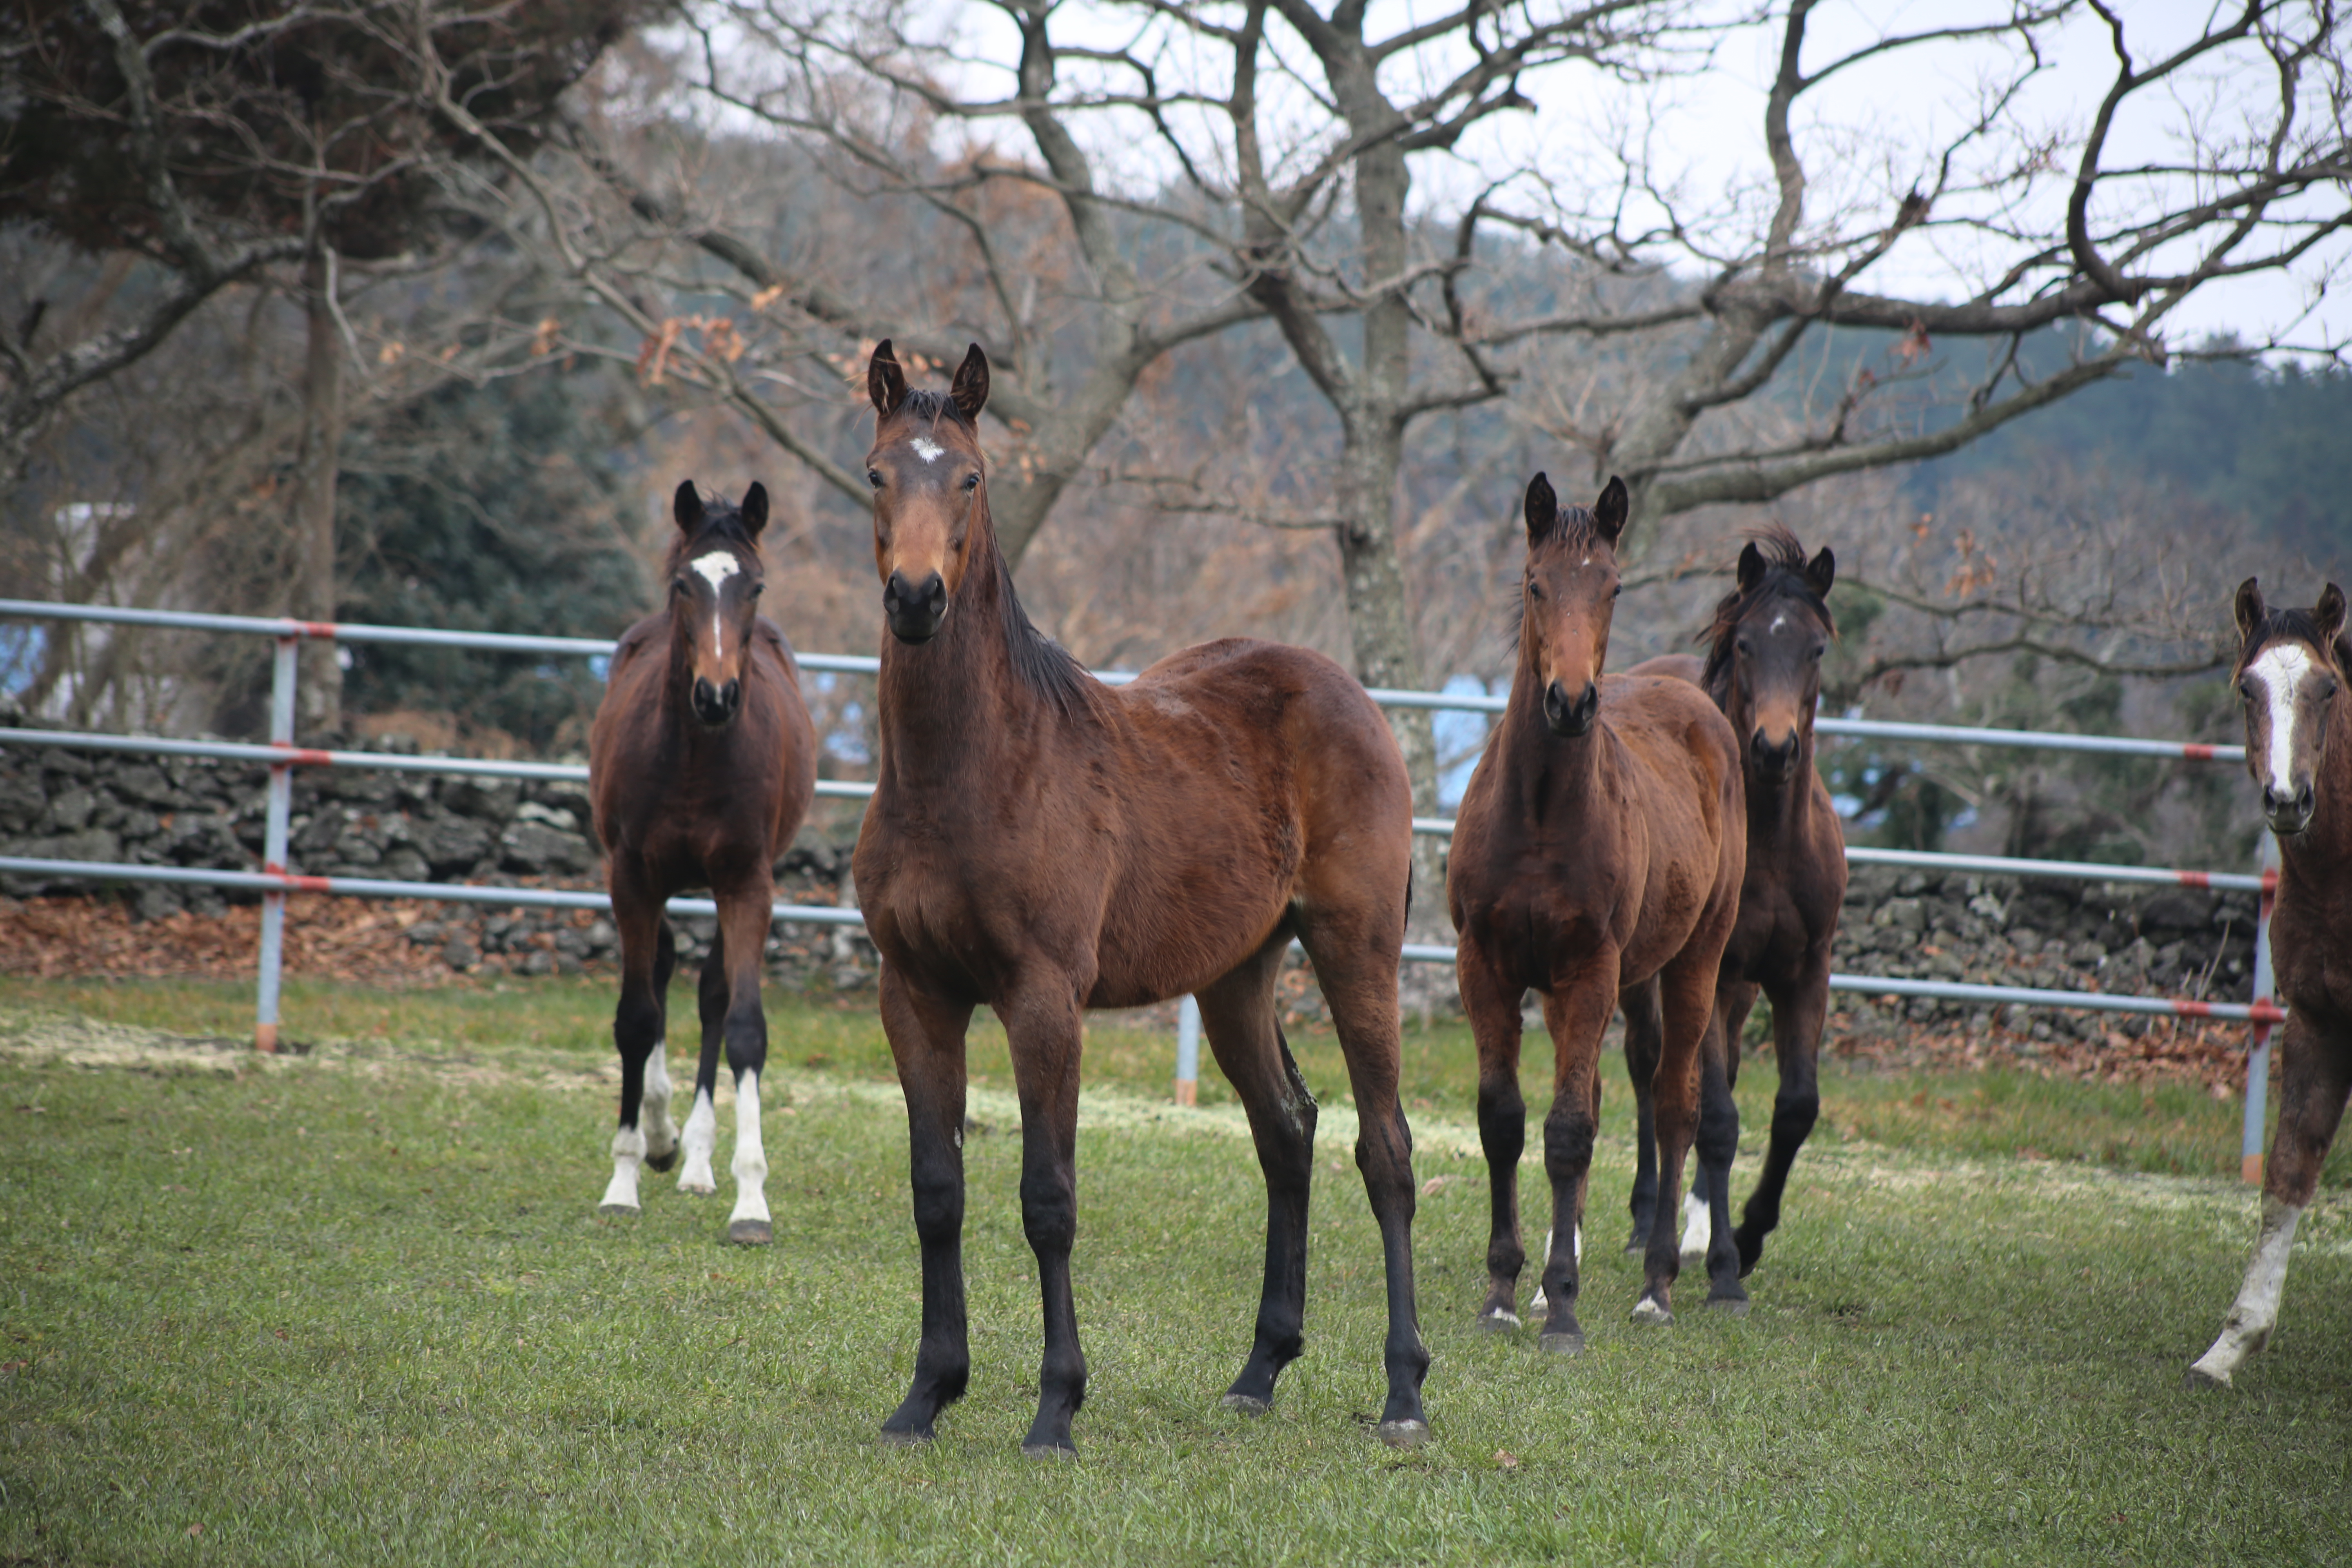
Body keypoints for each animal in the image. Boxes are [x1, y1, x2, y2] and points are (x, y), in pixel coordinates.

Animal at [592, 484, 823, 1241]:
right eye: (682, 585)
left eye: (754, 586)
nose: (716, 697)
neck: (694, 755)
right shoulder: (632, 879)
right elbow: (636, 1018)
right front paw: (624, 1178)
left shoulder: (748, 884)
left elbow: (744, 1024)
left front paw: (751, 1202)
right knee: (662, 971)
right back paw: (661, 1138)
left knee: (712, 992)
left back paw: (694, 1159)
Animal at [851, 341, 1421, 1457]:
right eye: (879, 473)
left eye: (971, 480)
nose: (915, 599)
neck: (970, 771)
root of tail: (1351, 695)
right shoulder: (915, 992)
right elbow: (937, 1192)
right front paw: (925, 1395)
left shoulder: (1042, 998)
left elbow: (1048, 1198)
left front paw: (1055, 1409)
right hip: (1235, 978)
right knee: (1287, 1131)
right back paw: (1258, 1372)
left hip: (1356, 952)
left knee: (1385, 1149)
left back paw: (1404, 1393)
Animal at [1439, 470, 1759, 1354]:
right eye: (1534, 583)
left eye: (1612, 586)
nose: (1572, 703)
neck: (1541, 813)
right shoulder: (1486, 967)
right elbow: (1505, 1122)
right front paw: (1504, 1294)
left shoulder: (1591, 970)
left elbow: (1570, 1134)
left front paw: (1563, 1309)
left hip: (1694, 962)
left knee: (1677, 1107)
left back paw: (1659, 1285)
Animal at [1627, 533, 1844, 1307]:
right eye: (1746, 644)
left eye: (1816, 648)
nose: (1775, 749)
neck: (1773, 843)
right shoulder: (1713, 973)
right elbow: (1718, 1118)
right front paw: (1726, 1264)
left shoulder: (1805, 972)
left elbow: (1796, 1108)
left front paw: (1746, 1237)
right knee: (1649, 1063)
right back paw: (1647, 1217)